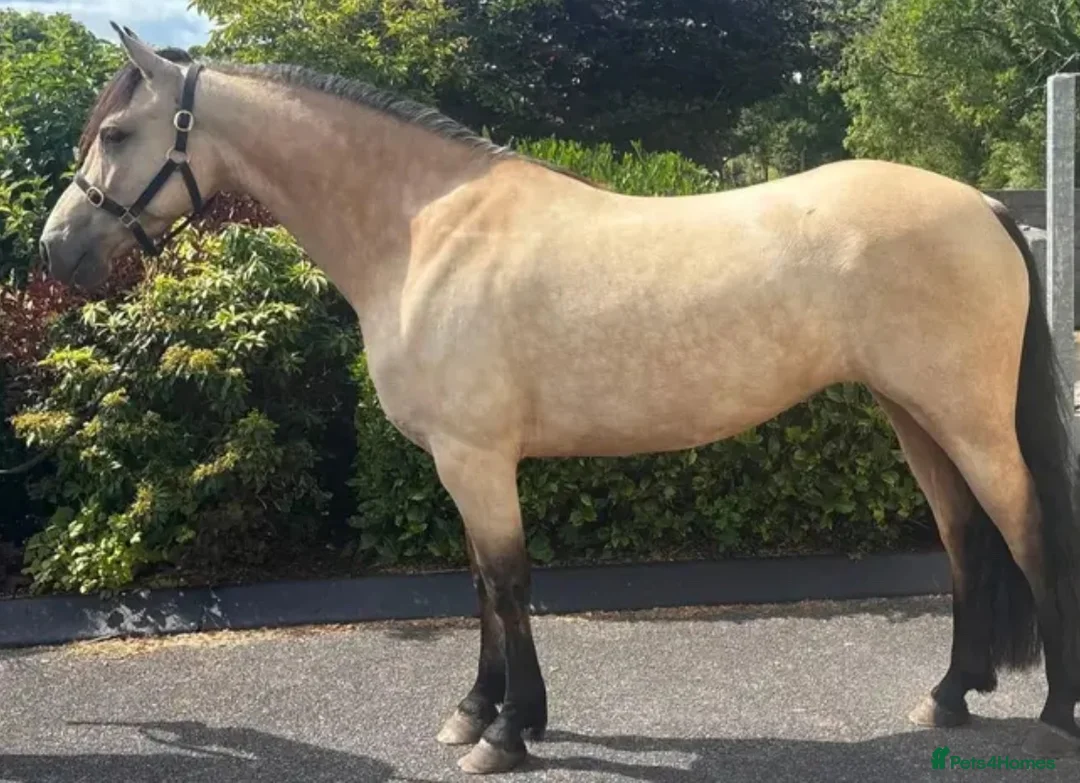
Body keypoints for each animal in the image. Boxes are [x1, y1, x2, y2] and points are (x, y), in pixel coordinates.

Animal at [36, 24, 1080, 775]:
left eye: (119, 133)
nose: (56, 249)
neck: (423, 230)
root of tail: (986, 205)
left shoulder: (477, 458)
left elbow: (508, 582)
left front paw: (507, 733)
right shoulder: (462, 463)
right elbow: (478, 584)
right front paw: (475, 712)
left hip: (968, 419)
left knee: (1027, 530)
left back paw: (1053, 714)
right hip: (915, 417)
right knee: (965, 540)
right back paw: (948, 695)